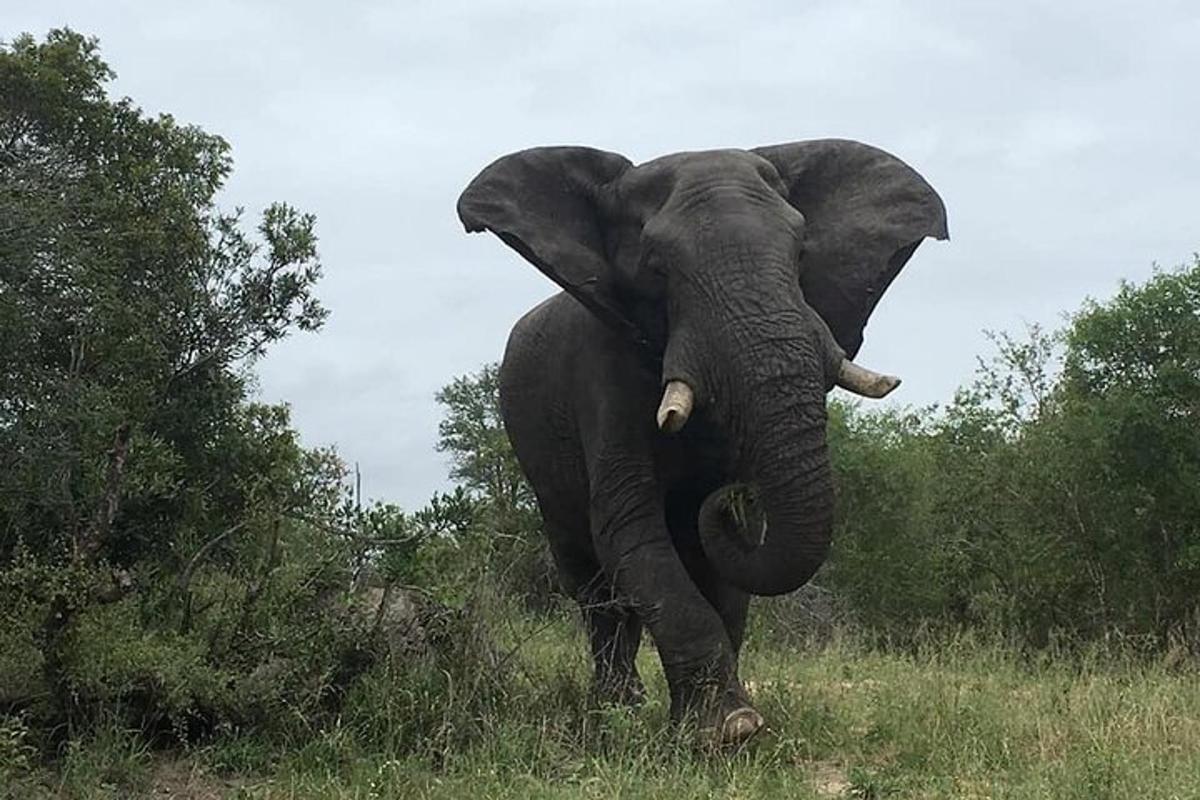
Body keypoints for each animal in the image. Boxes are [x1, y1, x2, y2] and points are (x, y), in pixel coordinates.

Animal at [456, 140, 945, 748]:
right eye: (657, 270)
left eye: (799, 255)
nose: (722, 496)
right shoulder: (601, 370)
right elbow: (631, 530)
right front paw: (726, 728)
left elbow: (726, 568)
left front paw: (724, 718)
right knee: (590, 583)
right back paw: (615, 708)